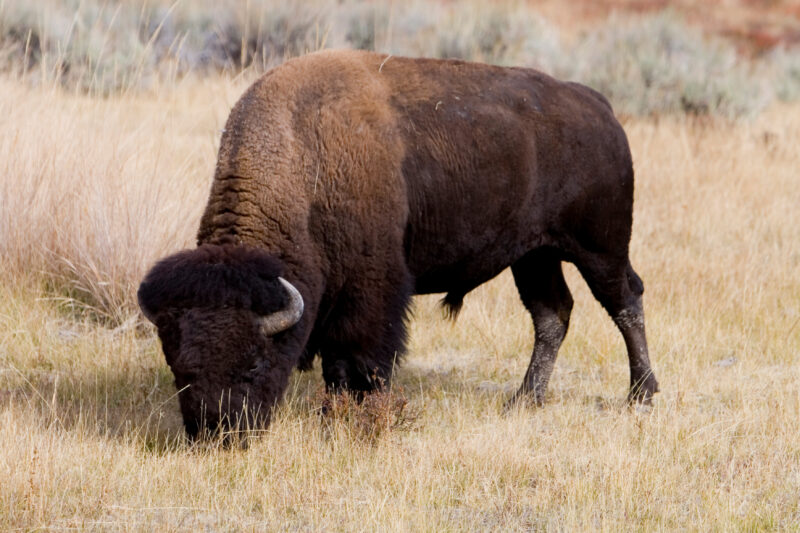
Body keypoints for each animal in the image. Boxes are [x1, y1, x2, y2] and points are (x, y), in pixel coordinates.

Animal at [138, 50, 659, 438]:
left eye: (251, 365)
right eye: (179, 370)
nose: (216, 433)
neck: (306, 159)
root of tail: (598, 106)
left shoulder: (372, 290)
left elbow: (356, 359)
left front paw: (353, 418)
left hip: (599, 246)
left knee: (625, 302)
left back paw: (641, 396)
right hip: (534, 256)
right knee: (552, 314)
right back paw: (523, 401)